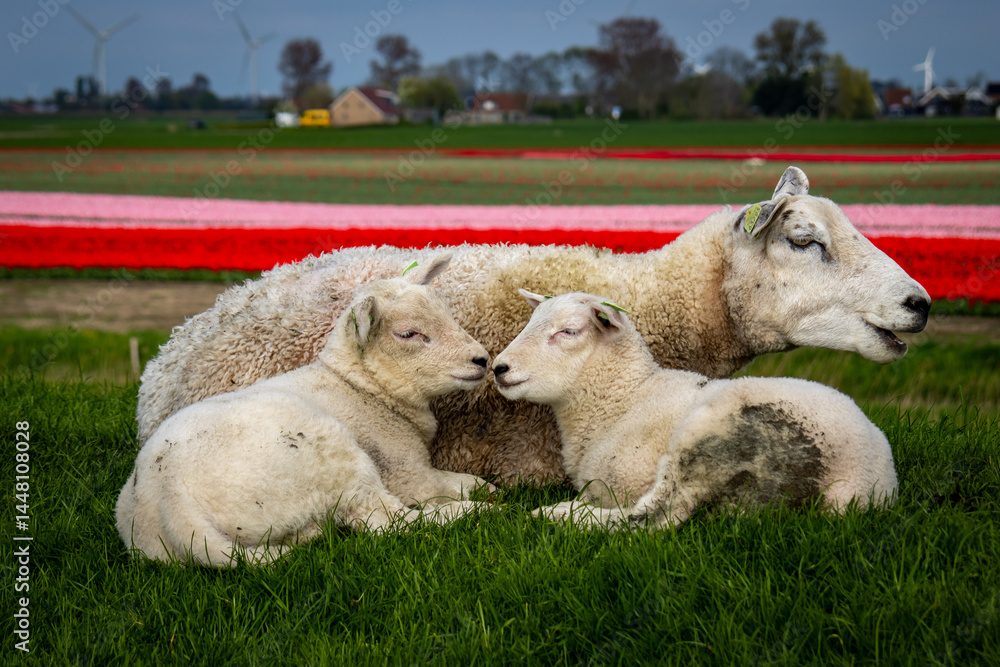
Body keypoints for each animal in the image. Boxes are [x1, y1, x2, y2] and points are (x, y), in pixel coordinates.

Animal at [116, 254, 495, 567]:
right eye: (408, 334)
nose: (482, 359)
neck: (360, 386)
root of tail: (172, 502)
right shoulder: (406, 471)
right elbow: (449, 486)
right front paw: (482, 493)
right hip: (329, 455)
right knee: (385, 520)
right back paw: (476, 513)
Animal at [491, 290, 899, 529]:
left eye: (569, 331)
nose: (499, 368)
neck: (622, 399)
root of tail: (856, 480)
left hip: (712, 436)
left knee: (658, 517)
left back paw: (558, 515)